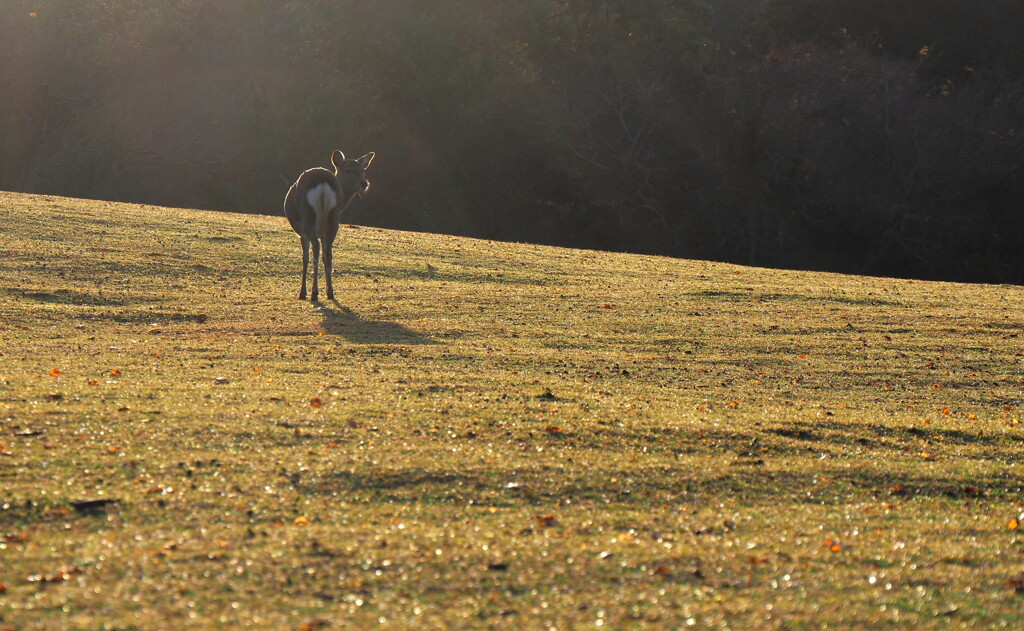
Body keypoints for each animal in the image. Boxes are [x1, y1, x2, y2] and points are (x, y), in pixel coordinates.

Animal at [282, 151, 374, 301]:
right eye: (348, 170)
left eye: (363, 171)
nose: (364, 183)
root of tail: (323, 184)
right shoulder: (324, 233)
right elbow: (325, 258)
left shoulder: (302, 233)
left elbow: (305, 258)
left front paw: (303, 292)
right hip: (334, 220)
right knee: (329, 254)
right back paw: (330, 292)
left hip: (308, 218)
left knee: (315, 250)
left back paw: (314, 292)